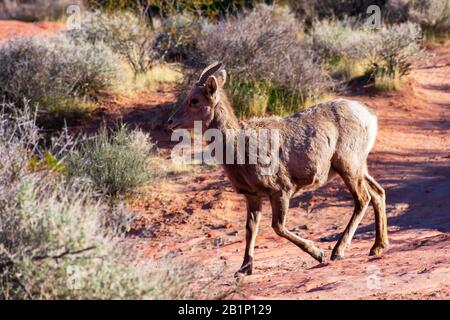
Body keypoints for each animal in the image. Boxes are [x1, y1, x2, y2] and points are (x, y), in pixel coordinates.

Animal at [167, 62, 388, 276]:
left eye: (194, 100)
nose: (170, 122)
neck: (240, 148)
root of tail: (370, 116)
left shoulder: (281, 192)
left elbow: (278, 227)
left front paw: (318, 253)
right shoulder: (253, 197)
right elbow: (251, 229)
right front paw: (244, 269)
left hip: (349, 167)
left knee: (363, 199)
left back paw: (337, 251)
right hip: (359, 168)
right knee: (378, 193)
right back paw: (377, 247)